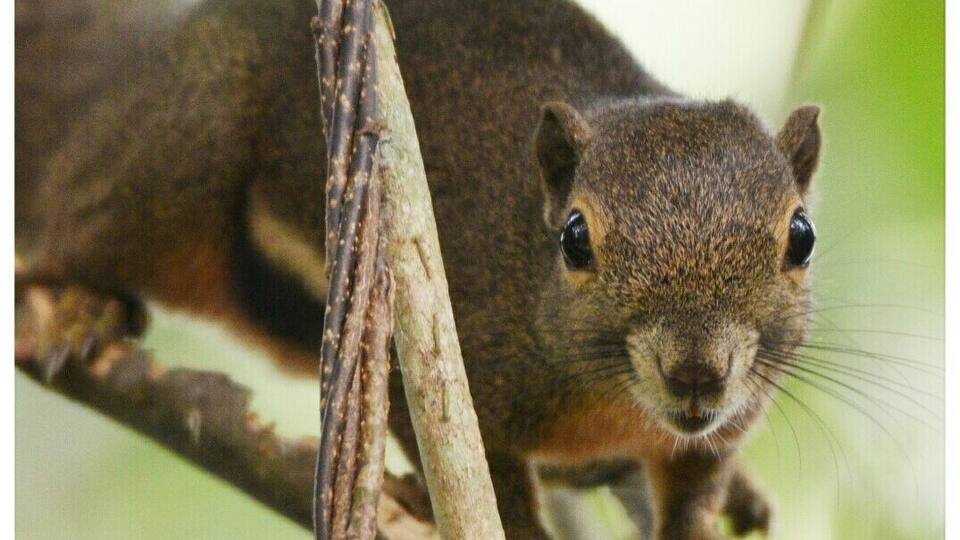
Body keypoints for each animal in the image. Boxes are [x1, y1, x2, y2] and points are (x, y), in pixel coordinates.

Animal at [15, 0, 822, 538]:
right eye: (575, 239)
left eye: (802, 237)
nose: (696, 373)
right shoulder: (446, 358)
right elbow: (488, 485)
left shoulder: (720, 429)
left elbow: (693, 493)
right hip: (177, 149)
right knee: (74, 228)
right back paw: (80, 305)